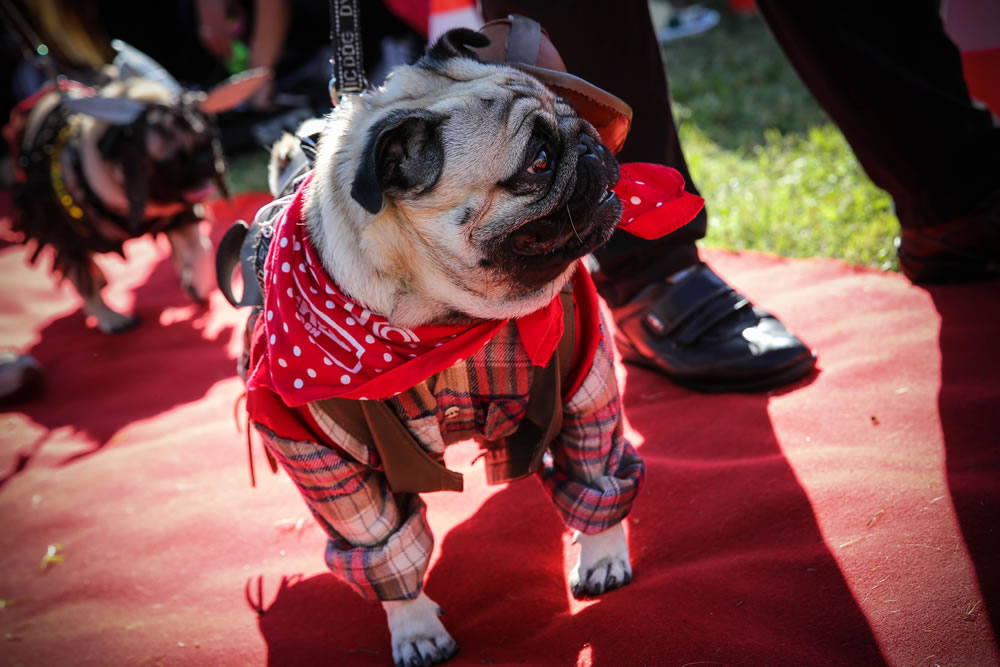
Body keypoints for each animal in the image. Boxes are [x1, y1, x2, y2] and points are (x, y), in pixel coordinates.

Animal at [6, 41, 269, 333]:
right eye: (166, 158)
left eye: (208, 141)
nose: (205, 160)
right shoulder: (67, 238)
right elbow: (84, 281)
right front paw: (109, 316)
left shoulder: (181, 215)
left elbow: (201, 247)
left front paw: (200, 282)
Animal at [228, 23, 687, 667]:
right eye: (538, 162)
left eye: (573, 117)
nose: (592, 144)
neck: (444, 323)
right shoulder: (321, 450)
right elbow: (379, 542)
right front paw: (414, 626)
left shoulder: (583, 379)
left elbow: (594, 470)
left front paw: (602, 557)